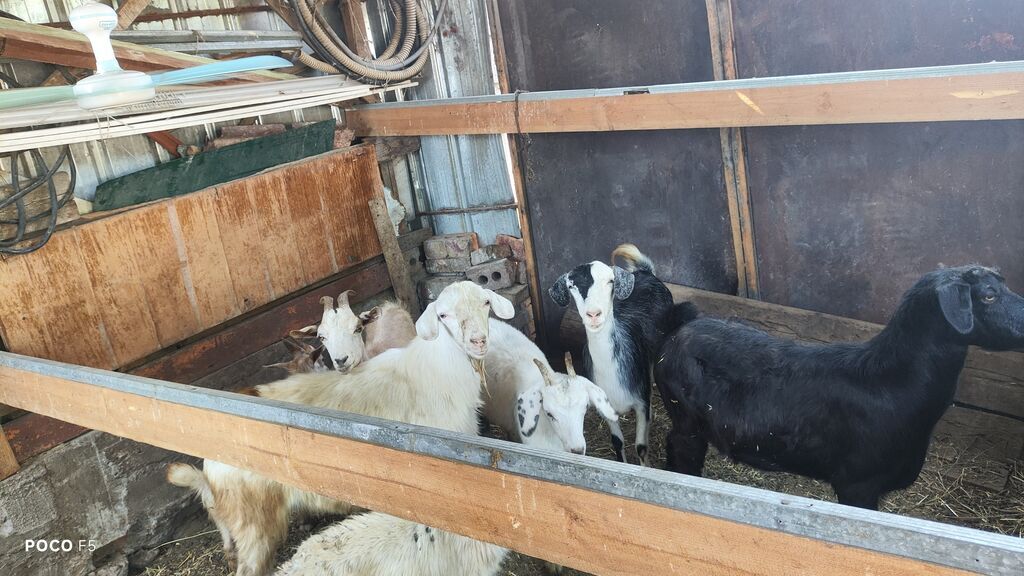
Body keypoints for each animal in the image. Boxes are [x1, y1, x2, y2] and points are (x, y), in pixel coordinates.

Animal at [549, 244, 690, 465]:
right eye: (571, 286)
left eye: (610, 281)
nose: (593, 314)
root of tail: (645, 272)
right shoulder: (606, 408)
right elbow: (617, 442)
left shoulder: (640, 402)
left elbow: (641, 446)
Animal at [655, 265, 1024, 509]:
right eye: (989, 295)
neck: (893, 381)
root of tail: (681, 325)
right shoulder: (857, 483)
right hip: (684, 416)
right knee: (680, 446)